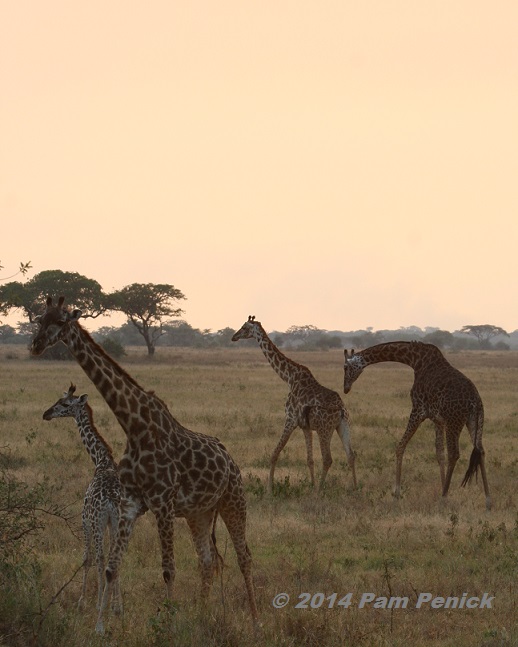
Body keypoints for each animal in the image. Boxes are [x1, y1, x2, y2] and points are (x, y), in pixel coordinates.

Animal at [42, 384, 123, 616]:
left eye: (64, 404)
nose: (46, 414)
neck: (101, 461)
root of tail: (111, 501)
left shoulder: (85, 518)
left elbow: (86, 558)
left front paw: (82, 601)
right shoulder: (112, 523)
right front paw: (115, 604)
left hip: (96, 522)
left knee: (100, 557)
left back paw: (99, 604)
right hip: (117, 522)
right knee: (114, 557)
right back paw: (116, 607)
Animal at [233, 316, 358, 494]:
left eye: (244, 327)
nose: (234, 337)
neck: (288, 377)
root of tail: (340, 409)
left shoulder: (290, 419)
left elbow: (274, 454)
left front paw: (269, 490)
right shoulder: (305, 426)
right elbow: (309, 459)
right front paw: (311, 486)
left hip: (324, 428)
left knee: (328, 459)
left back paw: (320, 492)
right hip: (343, 425)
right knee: (350, 455)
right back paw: (354, 488)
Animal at [346, 340, 492, 512]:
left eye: (346, 368)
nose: (345, 388)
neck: (415, 360)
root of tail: (475, 401)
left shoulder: (418, 410)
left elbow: (400, 446)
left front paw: (396, 494)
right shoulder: (437, 419)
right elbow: (439, 453)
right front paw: (441, 486)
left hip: (454, 422)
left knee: (455, 454)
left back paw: (443, 499)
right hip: (474, 421)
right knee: (480, 451)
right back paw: (488, 501)